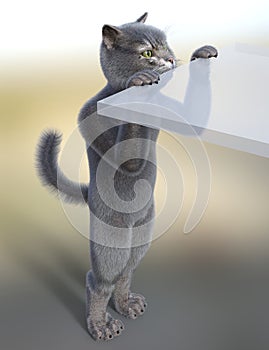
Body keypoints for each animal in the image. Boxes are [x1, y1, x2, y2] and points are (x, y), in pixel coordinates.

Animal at [35, 12, 217, 340]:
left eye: (167, 45)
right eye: (147, 53)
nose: (170, 59)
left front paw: (202, 53)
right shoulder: (90, 114)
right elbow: (127, 159)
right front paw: (140, 80)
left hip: (144, 231)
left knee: (126, 272)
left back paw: (127, 305)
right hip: (112, 238)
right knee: (99, 279)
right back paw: (100, 326)